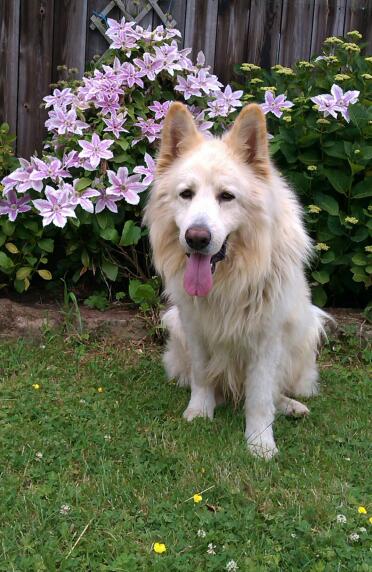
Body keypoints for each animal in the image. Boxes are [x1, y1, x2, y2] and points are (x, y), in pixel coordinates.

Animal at [144, 103, 326, 458]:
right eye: (186, 194)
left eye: (227, 196)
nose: (196, 238)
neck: (230, 279)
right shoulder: (195, 327)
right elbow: (202, 376)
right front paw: (200, 412)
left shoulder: (266, 339)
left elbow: (260, 398)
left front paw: (260, 442)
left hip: (306, 331)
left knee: (275, 391)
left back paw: (290, 406)